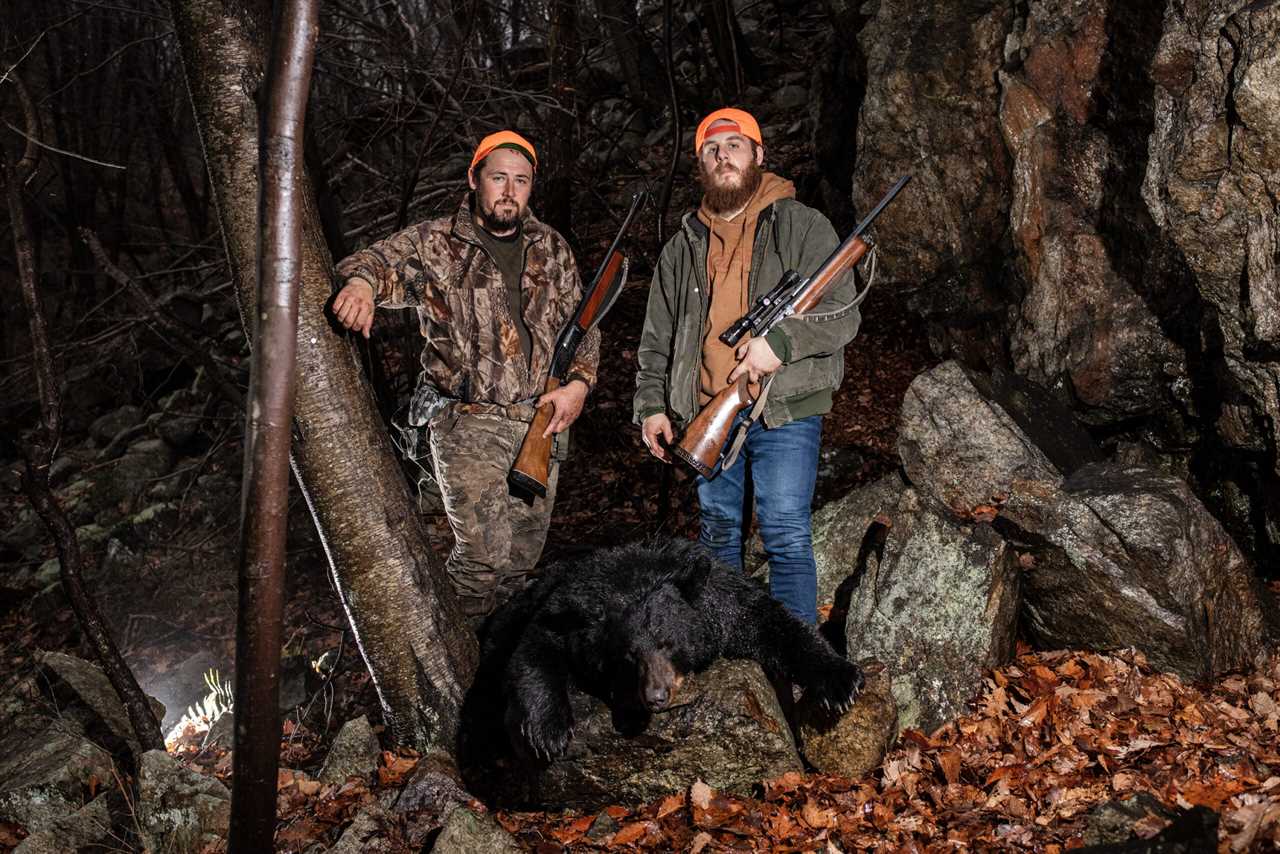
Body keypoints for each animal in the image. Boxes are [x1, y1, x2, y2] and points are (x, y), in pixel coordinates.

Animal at [473, 540, 870, 763]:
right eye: (628, 655)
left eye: (667, 642)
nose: (655, 697)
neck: (633, 577)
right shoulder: (567, 612)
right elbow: (533, 651)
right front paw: (548, 732)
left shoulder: (723, 601)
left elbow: (773, 624)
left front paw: (840, 681)